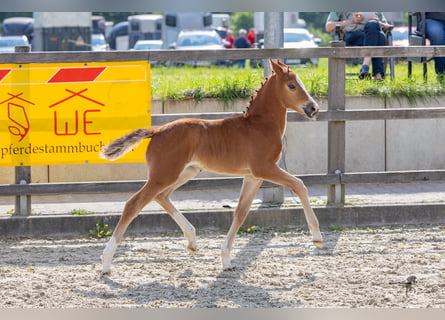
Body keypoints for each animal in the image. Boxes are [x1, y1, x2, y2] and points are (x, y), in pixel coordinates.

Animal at [100, 58, 320, 274]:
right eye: (292, 85)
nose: (313, 108)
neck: (260, 125)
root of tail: (157, 131)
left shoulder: (253, 176)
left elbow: (241, 212)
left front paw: (226, 260)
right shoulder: (264, 168)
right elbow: (299, 185)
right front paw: (317, 236)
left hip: (185, 172)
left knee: (162, 196)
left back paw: (192, 242)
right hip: (164, 174)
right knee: (133, 204)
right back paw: (106, 263)